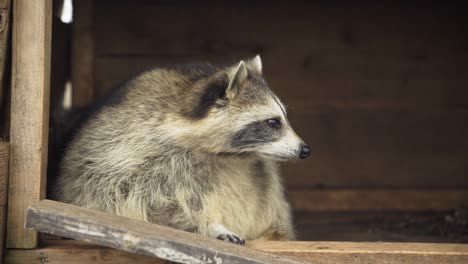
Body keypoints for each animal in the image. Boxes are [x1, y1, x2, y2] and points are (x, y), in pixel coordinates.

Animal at [53, 55, 310, 243]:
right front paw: (208, 225)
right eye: (273, 122)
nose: (305, 150)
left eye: (283, 118)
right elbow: (137, 201)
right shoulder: (127, 150)